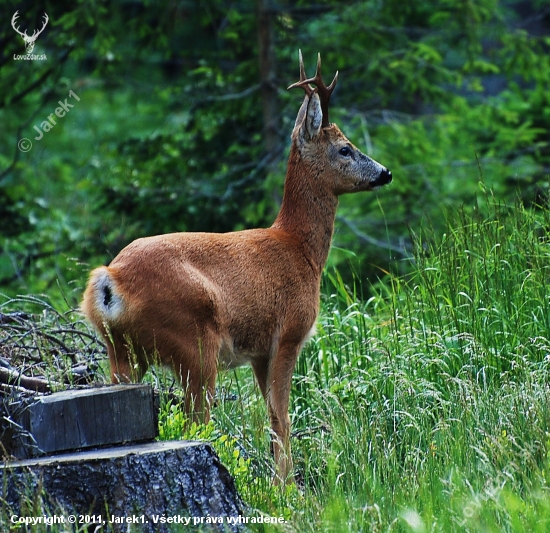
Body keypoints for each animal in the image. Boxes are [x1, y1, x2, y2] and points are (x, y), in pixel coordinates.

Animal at [82, 51, 392, 482]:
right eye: (346, 149)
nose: (385, 172)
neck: (301, 250)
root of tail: (110, 281)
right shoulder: (289, 334)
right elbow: (281, 417)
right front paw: (286, 486)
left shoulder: (259, 352)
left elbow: (271, 415)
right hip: (194, 343)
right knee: (197, 420)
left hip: (121, 350)